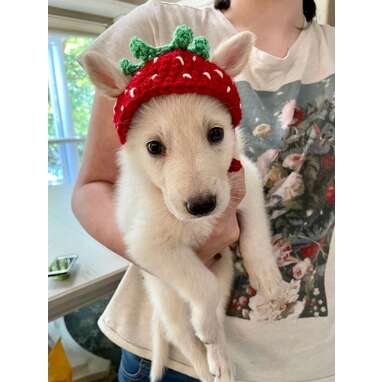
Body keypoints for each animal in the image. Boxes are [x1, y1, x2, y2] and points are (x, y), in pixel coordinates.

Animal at [81, 31, 284, 380]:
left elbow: (255, 234)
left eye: (216, 133)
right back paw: (204, 361)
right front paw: (205, 324)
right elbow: (201, 286)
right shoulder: (151, 247)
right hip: (168, 299)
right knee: (184, 337)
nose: (202, 206)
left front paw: (267, 276)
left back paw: (221, 360)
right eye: (153, 146)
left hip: (225, 271)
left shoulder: (247, 182)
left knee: (216, 317)